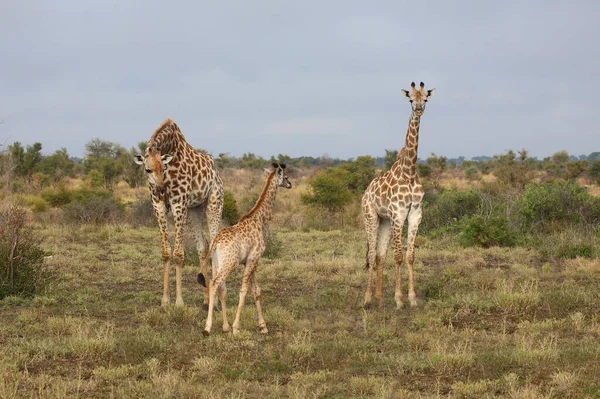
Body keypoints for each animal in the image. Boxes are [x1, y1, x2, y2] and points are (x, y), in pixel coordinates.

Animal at [134, 117, 223, 308]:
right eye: (148, 169)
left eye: (163, 168)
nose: (160, 189)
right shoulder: (158, 205)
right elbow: (166, 253)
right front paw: (165, 300)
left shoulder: (179, 204)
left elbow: (179, 254)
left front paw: (179, 302)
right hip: (195, 210)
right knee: (202, 247)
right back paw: (206, 300)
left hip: (214, 204)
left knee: (214, 244)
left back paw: (216, 300)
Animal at [199, 163, 292, 338]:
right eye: (286, 176)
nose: (290, 184)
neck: (259, 219)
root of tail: (215, 243)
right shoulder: (253, 258)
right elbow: (244, 290)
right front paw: (237, 327)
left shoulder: (251, 260)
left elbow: (256, 291)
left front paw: (263, 327)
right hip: (229, 263)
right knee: (215, 284)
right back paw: (208, 328)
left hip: (218, 263)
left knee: (221, 288)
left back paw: (225, 327)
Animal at [360, 82, 436, 310]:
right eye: (411, 99)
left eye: (425, 99)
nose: (418, 109)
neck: (409, 172)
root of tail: (365, 193)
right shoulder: (398, 215)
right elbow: (399, 256)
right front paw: (398, 299)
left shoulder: (415, 214)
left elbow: (409, 256)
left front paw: (412, 298)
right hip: (371, 217)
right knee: (371, 254)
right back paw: (367, 299)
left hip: (385, 221)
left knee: (379, 255)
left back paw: (379, 298)